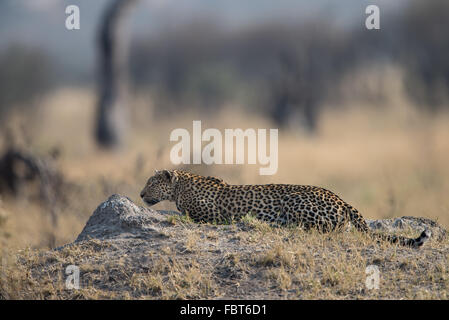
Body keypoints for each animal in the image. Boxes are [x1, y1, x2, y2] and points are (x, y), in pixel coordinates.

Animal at [140, 170, 430, 248]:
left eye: (151, 182)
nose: (141, 194)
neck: (181, 184)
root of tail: (340, 198)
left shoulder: (207, 213)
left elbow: (180, 213)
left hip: (295, 201)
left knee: (325, 228)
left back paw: (276, 223)